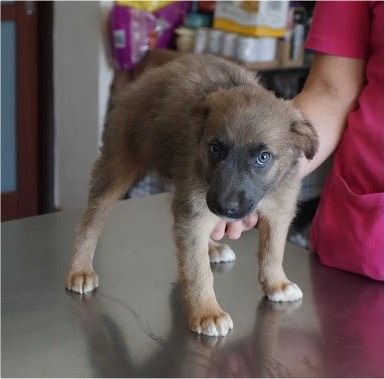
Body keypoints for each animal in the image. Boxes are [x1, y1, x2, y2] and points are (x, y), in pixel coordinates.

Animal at [67, 54, 318, 338]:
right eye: (215, 148)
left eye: (263, 157)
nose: (224, 207)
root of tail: (148, 76)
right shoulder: (196, 210)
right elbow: (199, 271)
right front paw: (207, 312)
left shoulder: (279, 210)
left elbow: (273, 251)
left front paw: (277, 283)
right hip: (118, 167)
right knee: (90, 221)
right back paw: (80, 268)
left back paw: (211, 247)